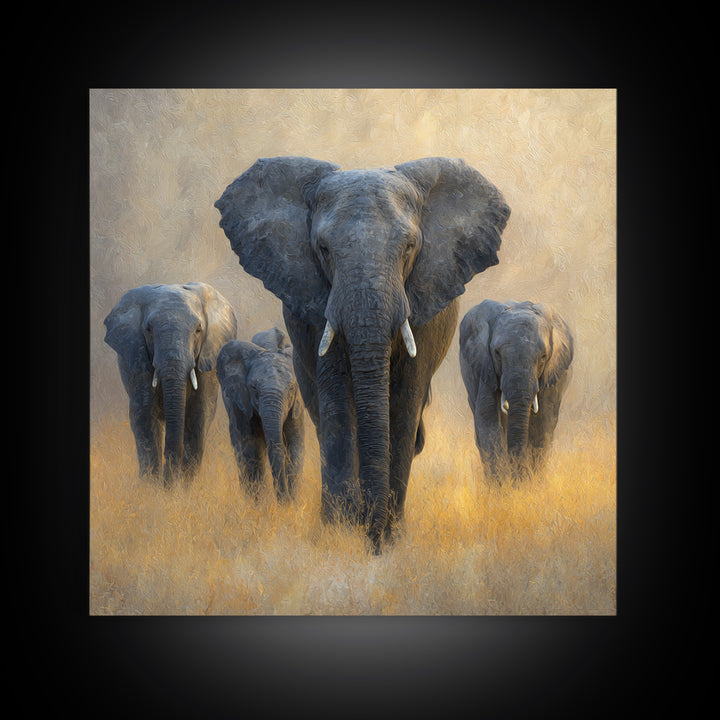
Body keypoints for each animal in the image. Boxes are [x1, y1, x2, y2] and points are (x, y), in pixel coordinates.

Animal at [104, 282, 237, 486]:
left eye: (198, 330)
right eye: (148, 330)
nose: (170, 483)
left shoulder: (208, 357)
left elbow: (199, 414)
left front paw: (185, 487)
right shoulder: (137, 357)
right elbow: (144, 413)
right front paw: (152, 488)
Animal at [216, 328, 305, 501]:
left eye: (291, 388)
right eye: (254, 388)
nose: (282, 500)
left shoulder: (296, 408)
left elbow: (295, 445)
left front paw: (292, 502)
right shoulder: (242, 404)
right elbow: (252, 448)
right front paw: (259, 504)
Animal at [458, 299, 574, 480]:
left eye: (543, 356)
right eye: (497, 353)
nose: (518, 478)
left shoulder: (552, 373)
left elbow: (545, 420)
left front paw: (530, 484)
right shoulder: (485, 366)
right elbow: (487, 417)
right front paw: (501, 485)